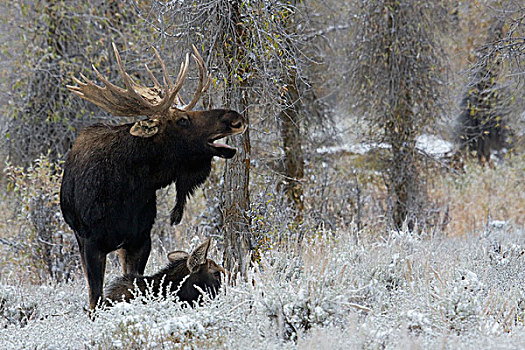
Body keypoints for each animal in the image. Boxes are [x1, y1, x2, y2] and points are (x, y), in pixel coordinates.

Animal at [60, 43, 245, 308]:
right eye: (183, 120)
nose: (235, 118)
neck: (128, 189)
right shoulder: (91, 243)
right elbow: (96, 298)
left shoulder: (140, 240)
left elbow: (135, 282)